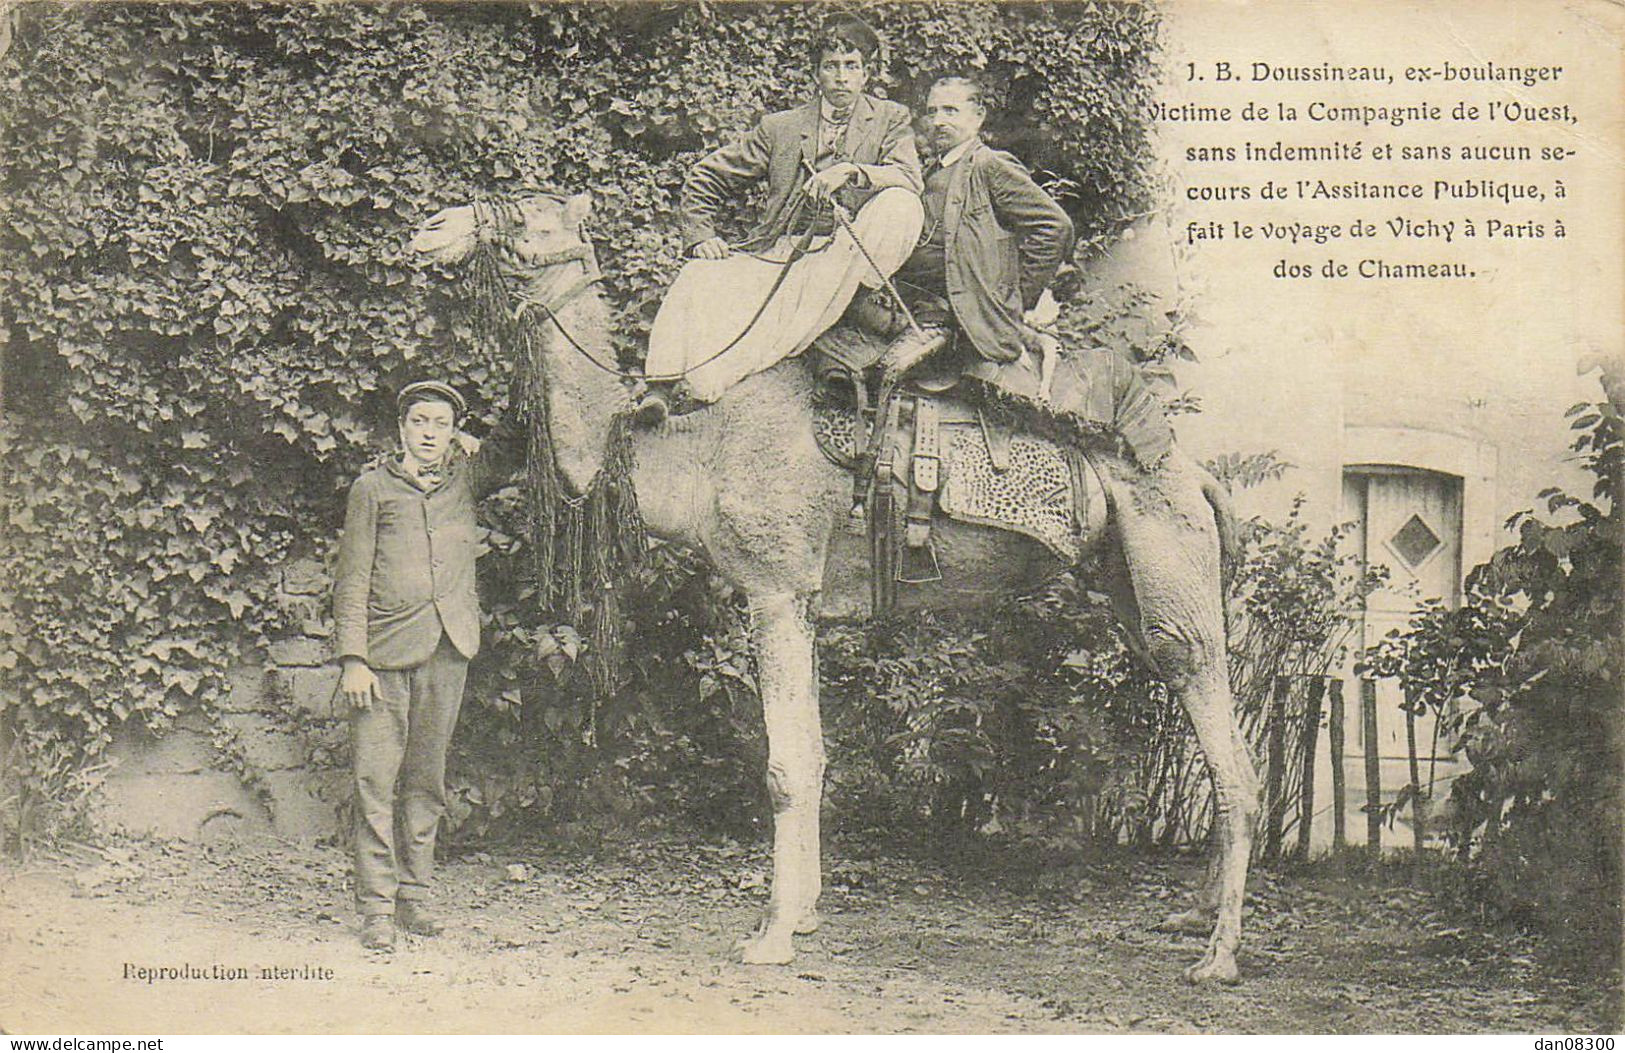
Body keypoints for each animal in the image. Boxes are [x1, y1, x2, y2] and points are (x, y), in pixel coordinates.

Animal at [412, 193, 1261, 981]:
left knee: (1230, 758)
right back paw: (1194, 917)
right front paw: (803, 913)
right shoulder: (807, 600)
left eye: (530, 214)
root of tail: (1198, 477)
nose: (433, 226)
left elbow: (786, 766)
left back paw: (1217, 955)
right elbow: (817, 753)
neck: (691, 452)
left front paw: (771, 936)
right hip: (1128, 585)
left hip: (1172, 567)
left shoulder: (775, 586)